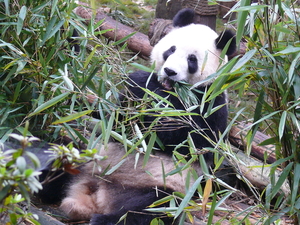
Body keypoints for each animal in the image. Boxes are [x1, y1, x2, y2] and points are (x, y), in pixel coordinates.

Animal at [57, 7, 236, 225]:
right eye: (171, 50)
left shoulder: (209, 104)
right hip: (85, 157)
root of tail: (94, 196)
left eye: (192, 60)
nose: (169, 71)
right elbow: (116, 121)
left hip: (164, 187)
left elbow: (183, 138)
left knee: (152, 209)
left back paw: (104, 220)